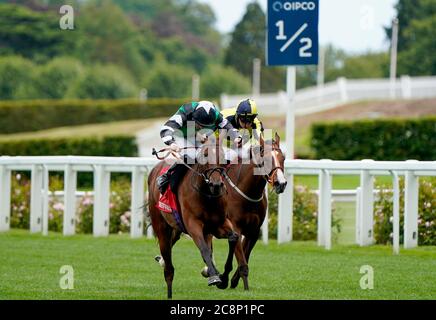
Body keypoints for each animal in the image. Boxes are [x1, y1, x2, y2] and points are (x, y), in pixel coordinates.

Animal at [149, 142, 238, 300]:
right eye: (205, 155)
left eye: (222, 155)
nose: (216, 185)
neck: (207, 196)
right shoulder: (193, 225)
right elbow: (204, 249)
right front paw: (214, 277)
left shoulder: (218, 224)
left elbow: (233, 238)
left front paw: (223, 278)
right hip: (161, 226)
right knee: (168, 266)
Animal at [203, 132, 288, 290]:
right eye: (265, 158)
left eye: (283, 158)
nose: (281, 183)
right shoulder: (235, 226)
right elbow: (241, 259)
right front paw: (235, 281)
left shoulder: (254, 231)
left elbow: (244, 254)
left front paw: (233, 279)